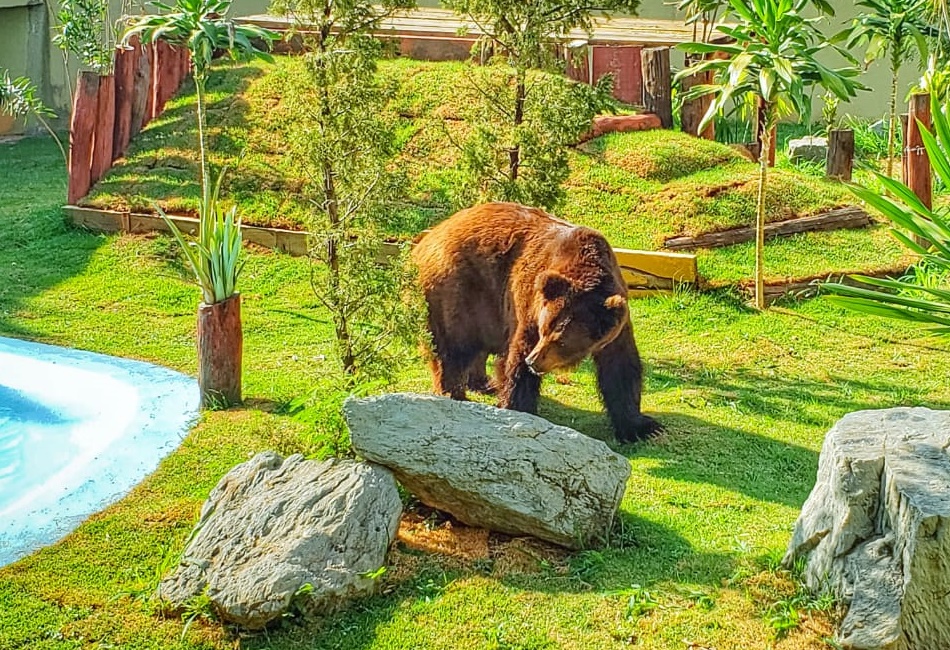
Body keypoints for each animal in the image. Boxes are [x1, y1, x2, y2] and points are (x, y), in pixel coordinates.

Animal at [412, 201, 660, 442]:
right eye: (545, 330)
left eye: (561, 340)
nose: (534, 361)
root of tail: (428, 237)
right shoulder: (529, 303)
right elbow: (516, 358)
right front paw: (518, 408)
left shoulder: (616, 324)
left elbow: (620, 368)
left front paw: (642, 427)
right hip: (458, 290)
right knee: (453, 348)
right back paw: (453, 394)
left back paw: (484, 383)